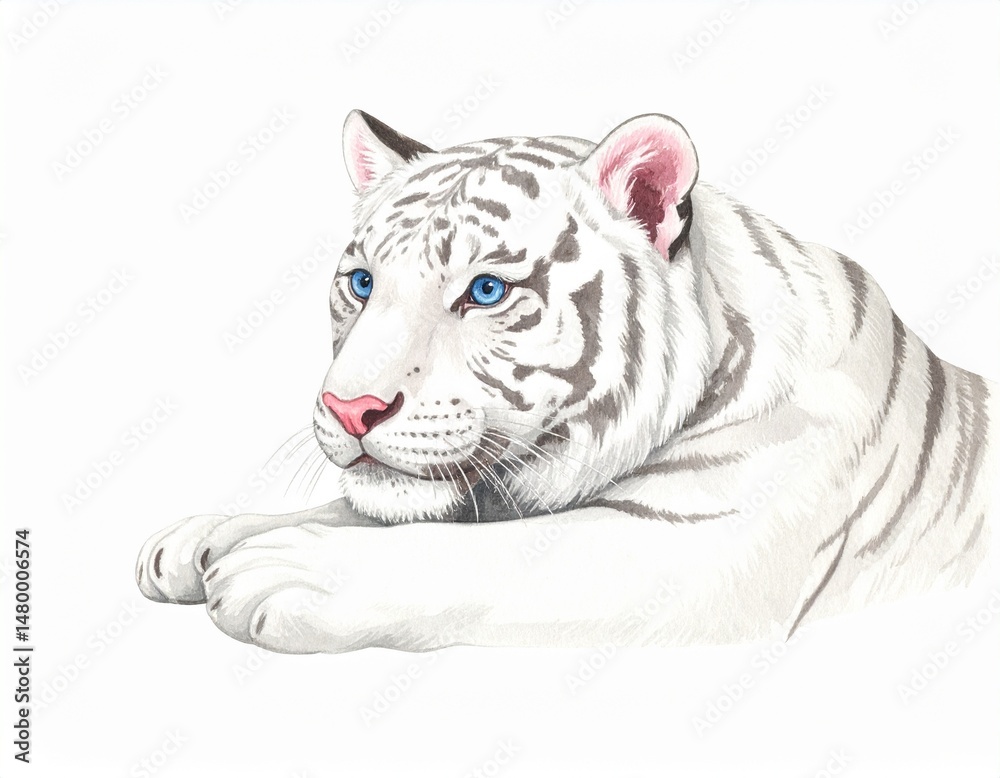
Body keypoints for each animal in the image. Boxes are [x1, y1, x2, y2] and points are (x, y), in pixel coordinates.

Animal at [136, 110, 998, 653]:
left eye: (486, 290)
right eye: (361, 282)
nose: (350, 409)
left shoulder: (706, 547)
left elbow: (506, 556)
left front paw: (277, 570)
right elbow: (356, 507)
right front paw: (198, 542)